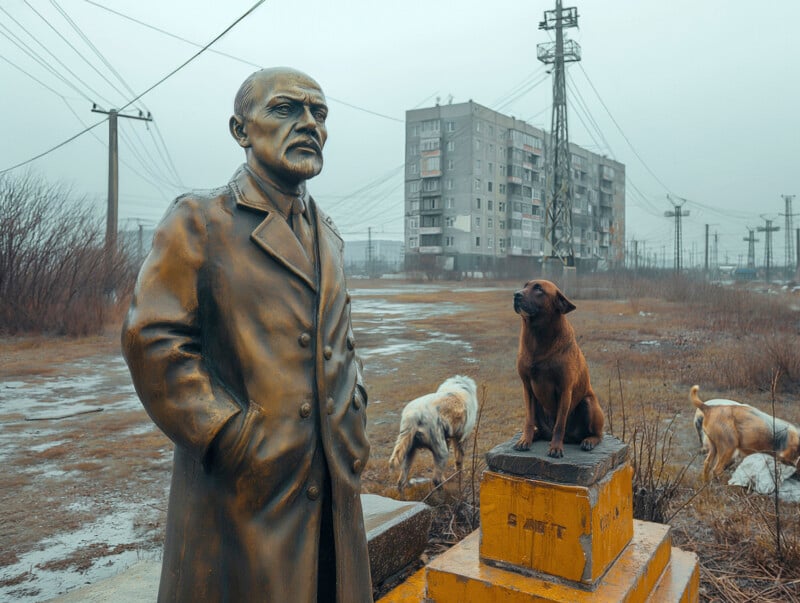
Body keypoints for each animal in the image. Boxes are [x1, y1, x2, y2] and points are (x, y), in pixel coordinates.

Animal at [512, 280, 608, 458]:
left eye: (539, 289)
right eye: (525, 285)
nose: (516, 295)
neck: (538, 338)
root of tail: (571, 438)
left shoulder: (565, 390)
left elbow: (559, 425)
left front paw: (556, 447)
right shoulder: (527, 389)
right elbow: (528, 420)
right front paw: (525, 439)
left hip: (588, 403)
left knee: (597, 434)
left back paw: (588, 441)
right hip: (538, 407)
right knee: (541, 430)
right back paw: (536, 435)